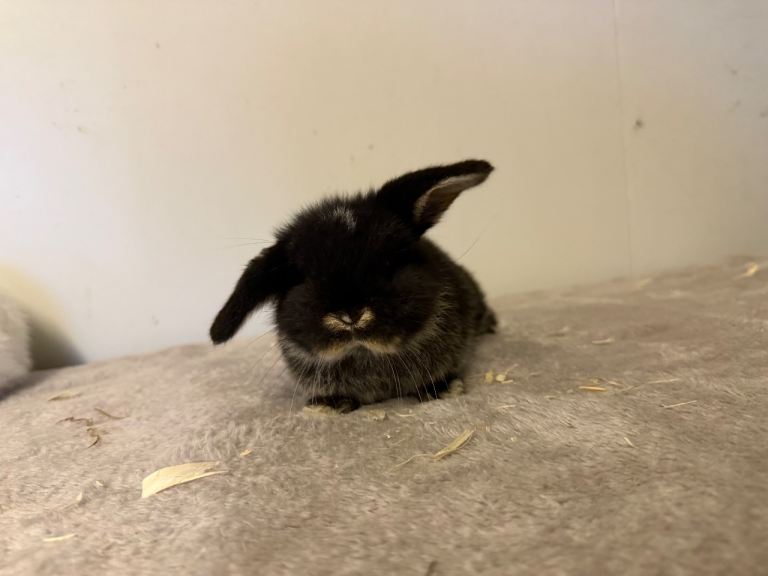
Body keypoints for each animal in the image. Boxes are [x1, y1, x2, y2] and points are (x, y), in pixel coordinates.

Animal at [210, 159, 497, 412]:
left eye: (389, 262)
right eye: (302, 278)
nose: (350, 315)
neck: (364, 355)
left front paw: (443, 389)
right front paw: (329, 405)